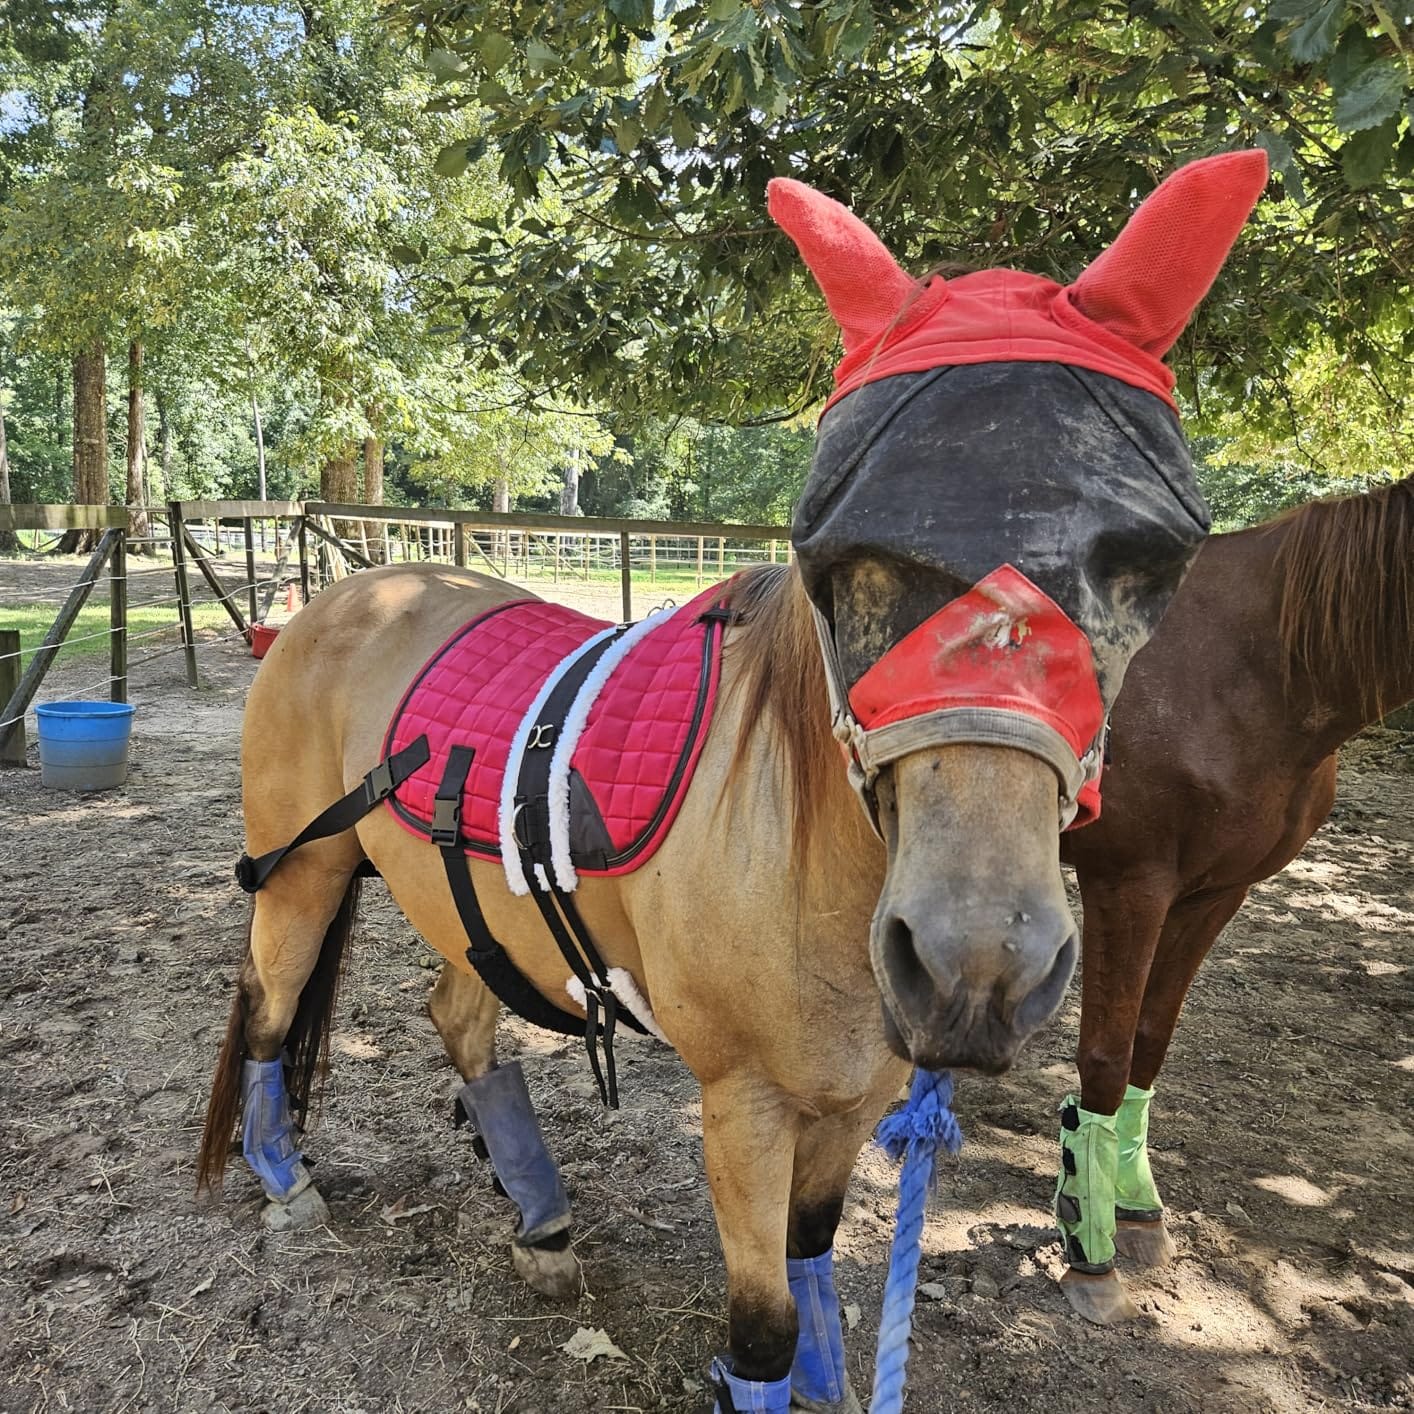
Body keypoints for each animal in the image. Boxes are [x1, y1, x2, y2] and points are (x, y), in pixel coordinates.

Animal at [196, 152, 1265, 1413]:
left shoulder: (852, 1099)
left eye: (1148, 564)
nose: (978, 964)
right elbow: (760, 1329)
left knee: (458, 1015)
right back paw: (286, 1182)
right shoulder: (743, 1105)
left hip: (473, 908)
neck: (799, 843)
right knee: (270, 1010)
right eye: (837, 554)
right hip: (304, 871)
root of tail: (345, 593)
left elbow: (813, 1278)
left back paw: (539, 1214)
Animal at [1058, 473, 1414, 1322]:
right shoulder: (1128, 885)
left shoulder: (1215, 895)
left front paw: (1135, 1211)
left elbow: (1150, 1040)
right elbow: (1105, 1054)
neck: (1251, 668)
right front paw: (1091, 1251)